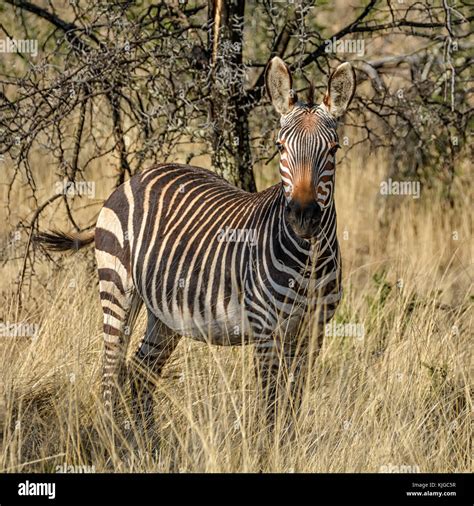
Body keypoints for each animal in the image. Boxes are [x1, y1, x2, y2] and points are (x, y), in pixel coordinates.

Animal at [36, 57, 356, 430]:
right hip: (118, 289)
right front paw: (267, 444)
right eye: (280, 147)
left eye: (333, 149)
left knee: (142, 371)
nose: (303, 217)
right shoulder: (266, 331)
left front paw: (289, 444)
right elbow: (270, 407)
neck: (309, 260)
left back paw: (146, 440)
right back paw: (111, 437)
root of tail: (135, 178)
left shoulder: (312, 333)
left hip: (166, 311)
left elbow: (292, 406)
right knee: (110, 372)